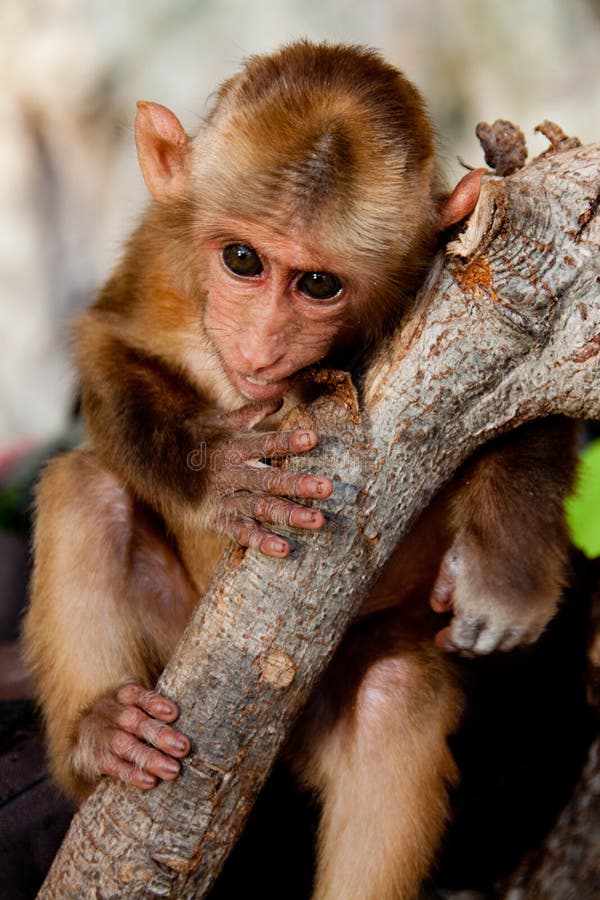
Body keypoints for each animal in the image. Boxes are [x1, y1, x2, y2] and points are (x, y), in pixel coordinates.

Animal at [23, 41, 578, 900]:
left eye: (318, 283)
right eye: (242, 260)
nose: (260, 345)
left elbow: (530, 407)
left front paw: (506, 563)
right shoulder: (163, 250)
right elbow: (109, 347)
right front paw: (222, 475)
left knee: (394, 700)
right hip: (172, 649)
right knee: (86, 489)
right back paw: (102, 734)